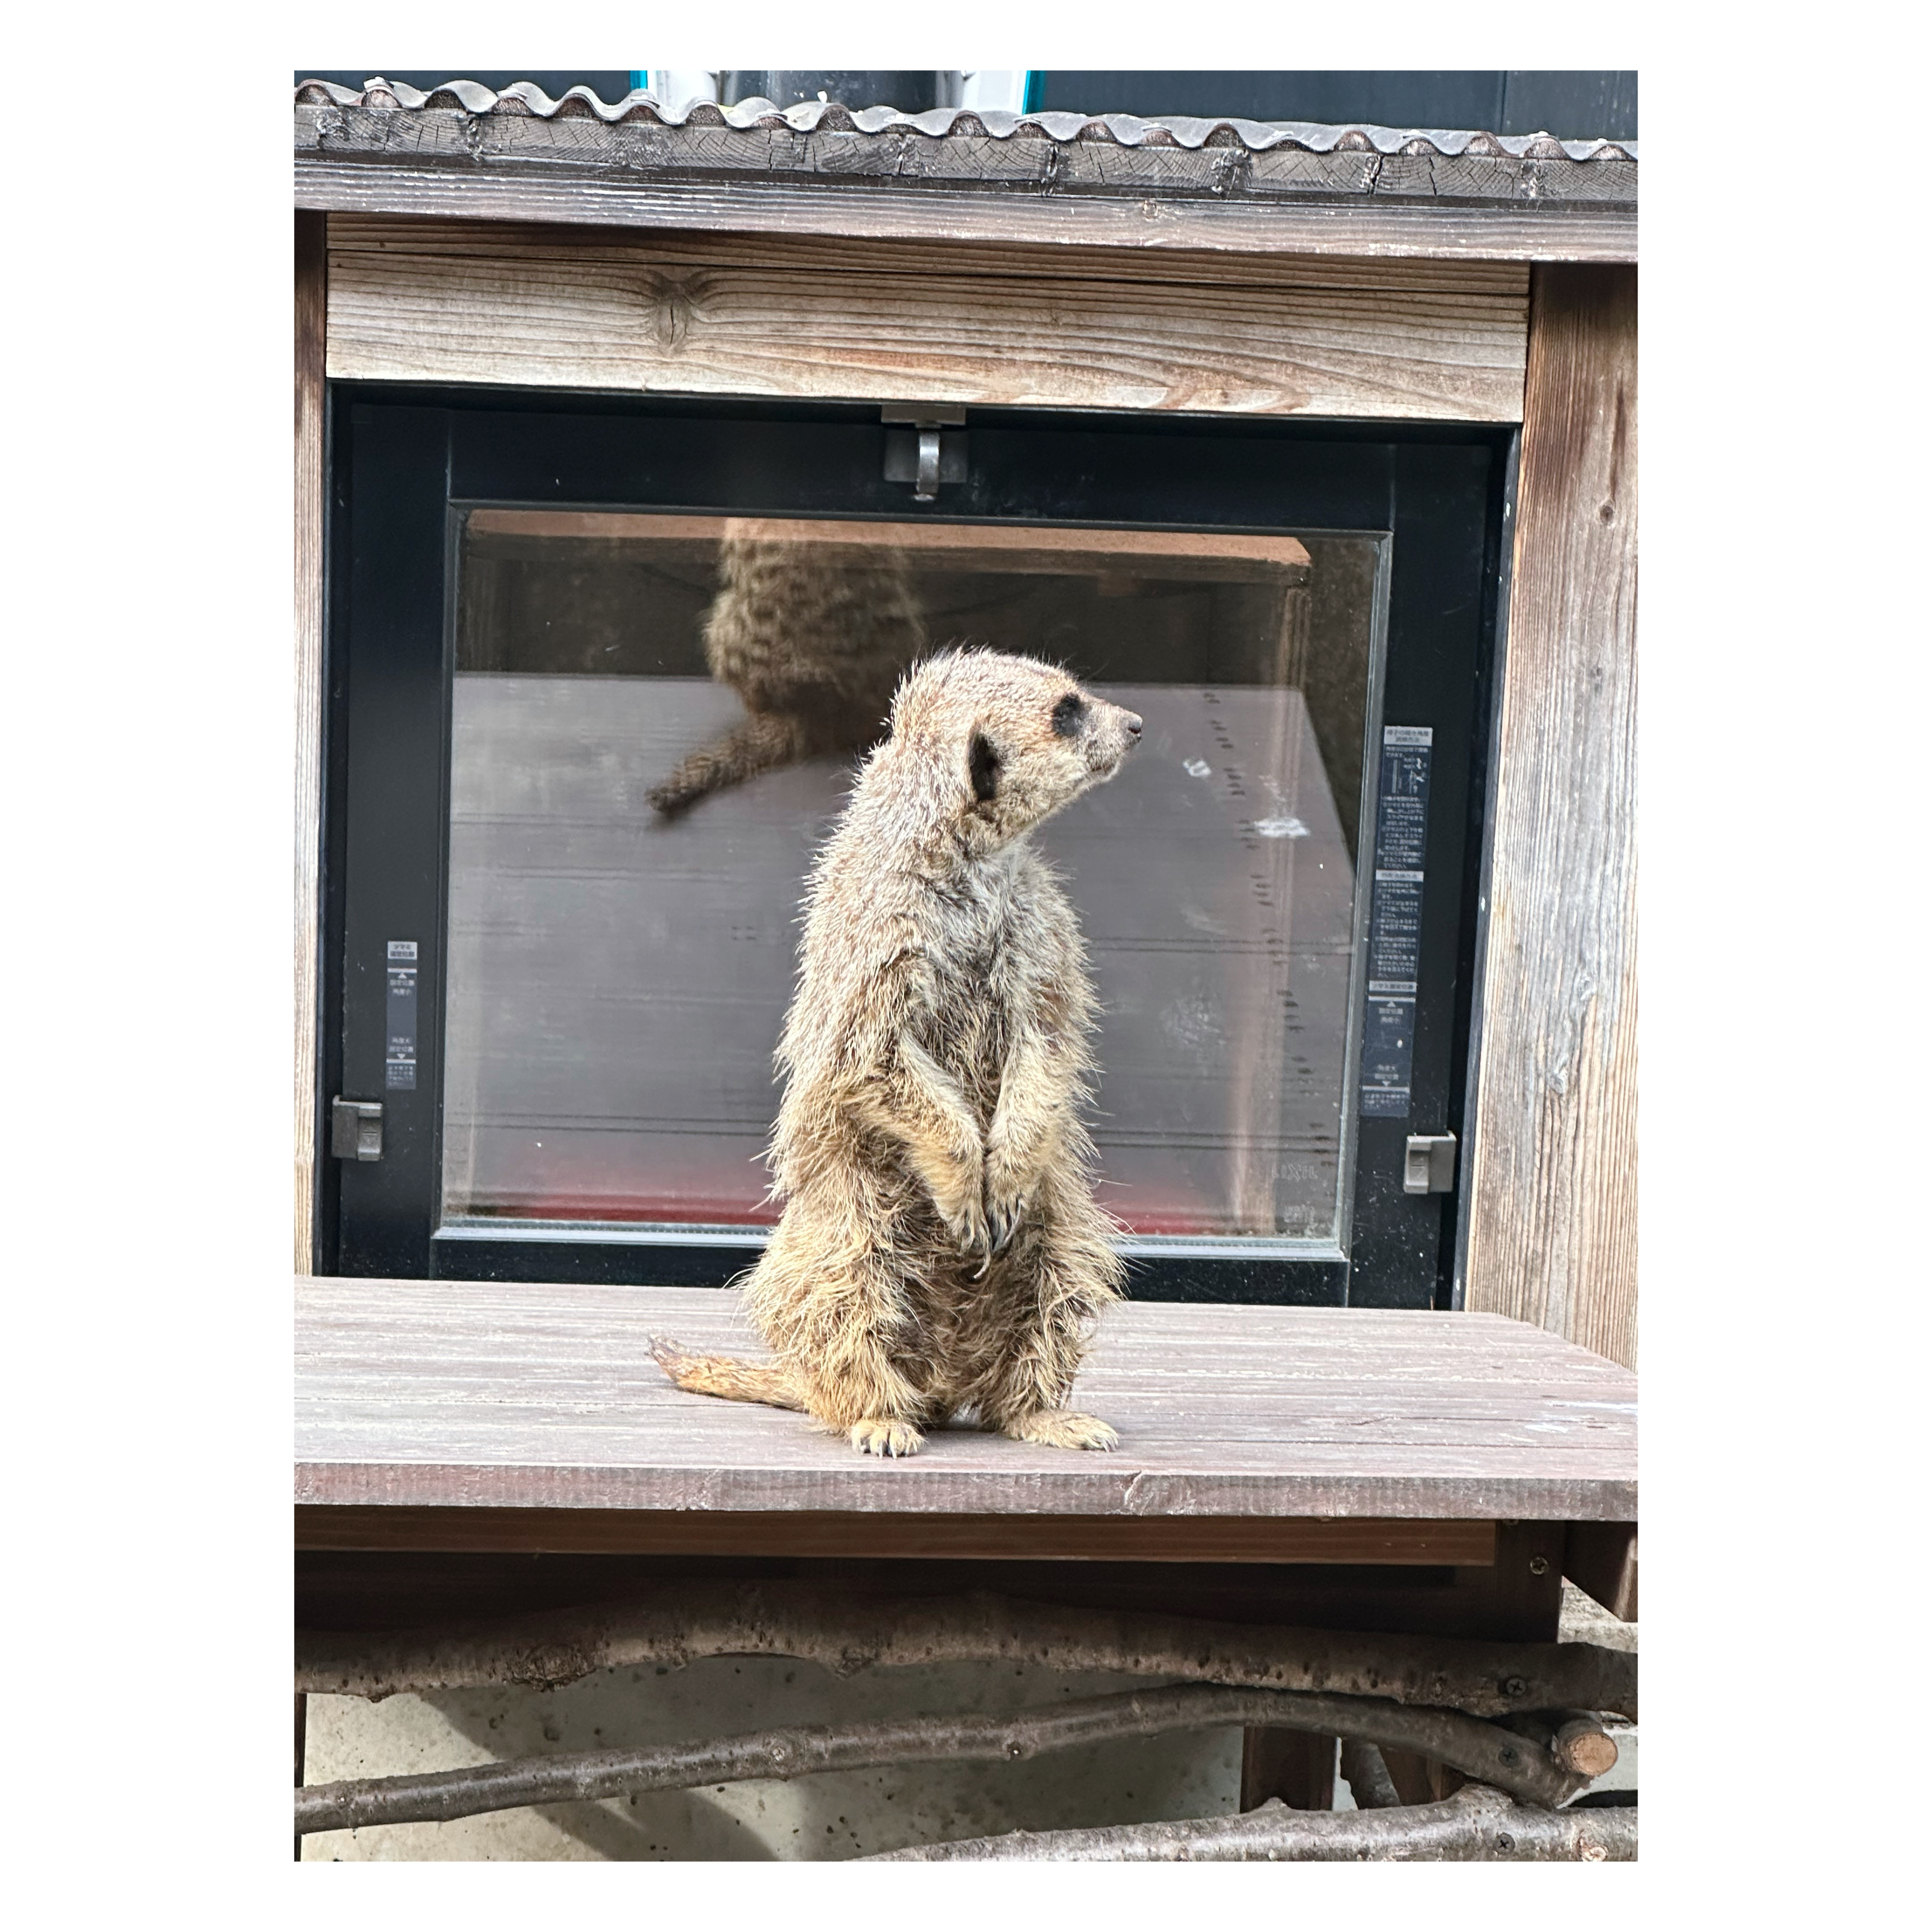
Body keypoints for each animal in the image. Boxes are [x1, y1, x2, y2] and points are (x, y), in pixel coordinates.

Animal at [651, 649, 1144, 1456]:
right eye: (1067, 713)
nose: (1135, 724)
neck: (972, 865)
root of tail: (941, 1380)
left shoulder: (1043, 931)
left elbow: (1048, 1034)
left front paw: (1006, 1166)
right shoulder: (877, 937)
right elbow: (870, 1056)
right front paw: (965, 1175)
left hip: (1058, 1224)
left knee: (1060, 1281)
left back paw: (1042, 1412)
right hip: (850, 1218)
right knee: (841, 1289)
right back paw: (880, 1416)